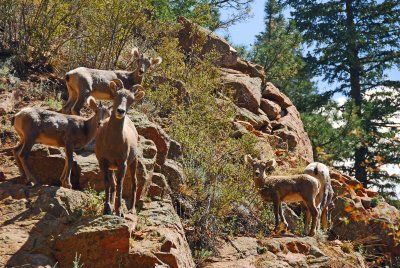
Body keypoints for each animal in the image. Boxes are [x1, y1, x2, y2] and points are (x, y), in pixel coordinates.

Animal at [94, 78, 145, 217]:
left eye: (132, 99)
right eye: (116, 95)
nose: (120, 111)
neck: (112, 143)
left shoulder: (123, 164)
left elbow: (121, 185)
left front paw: (119, 211)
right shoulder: (103, 162)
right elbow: (108, 184)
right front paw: (107, 209)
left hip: (133, 162)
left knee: (134, 183)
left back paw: (131, 210)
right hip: (112, 168)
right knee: (113, 184)